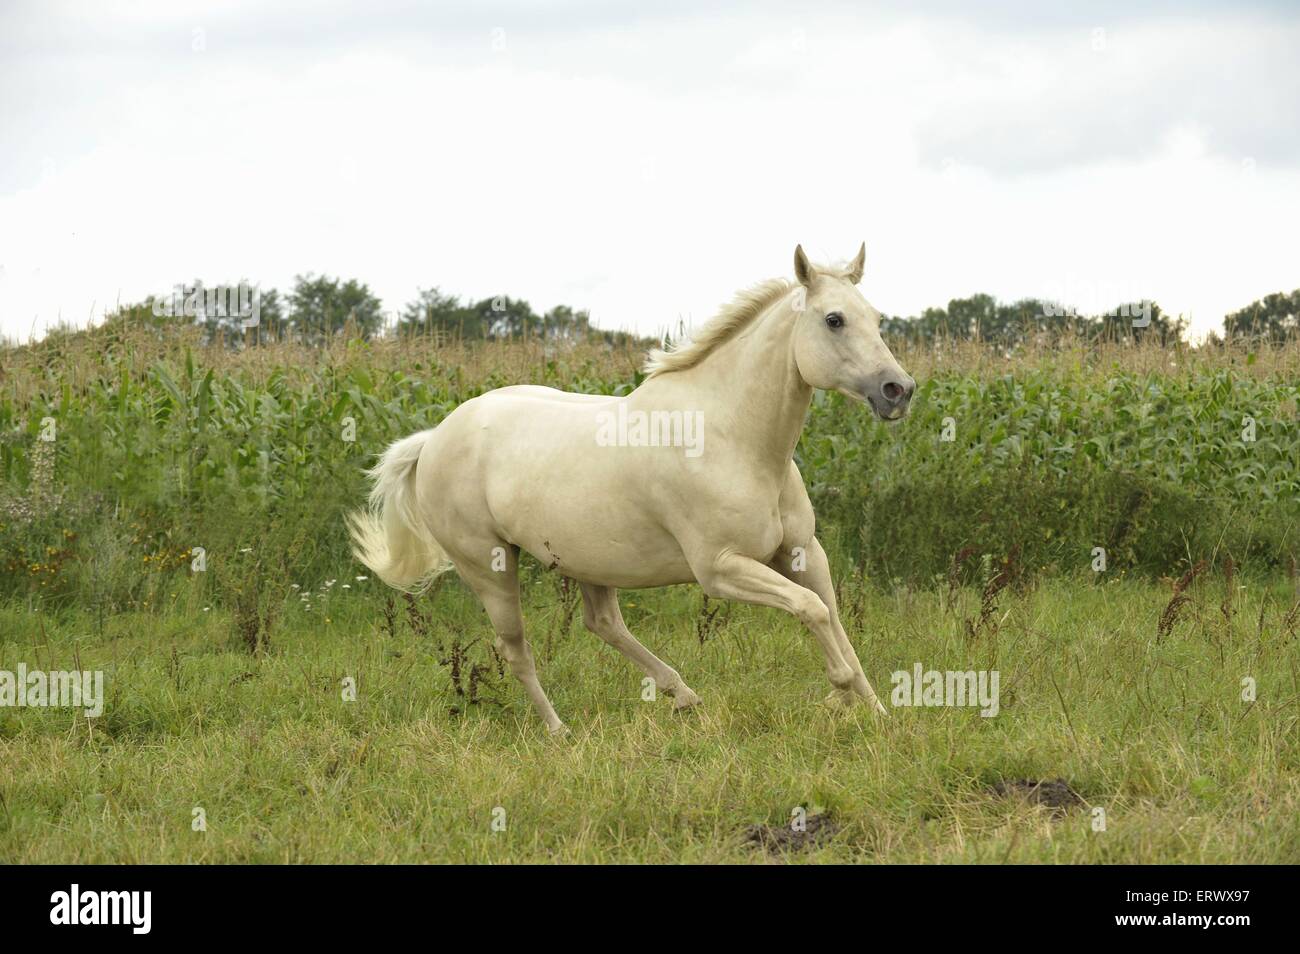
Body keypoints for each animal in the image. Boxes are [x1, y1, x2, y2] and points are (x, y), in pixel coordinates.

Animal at [349, 245, 915, 733]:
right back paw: (560, 730)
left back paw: (683, 696)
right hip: (489, 567)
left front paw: (877, 712)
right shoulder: (720, 568)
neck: (735, 438)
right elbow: (811, 609)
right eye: (834, 320)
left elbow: (832, 617)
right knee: (516, 649)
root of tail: (433, 439)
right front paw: (839, 693)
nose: (899, 390)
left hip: (587, 561)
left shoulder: (801, 552)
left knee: (603, 624)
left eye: (877, 318)